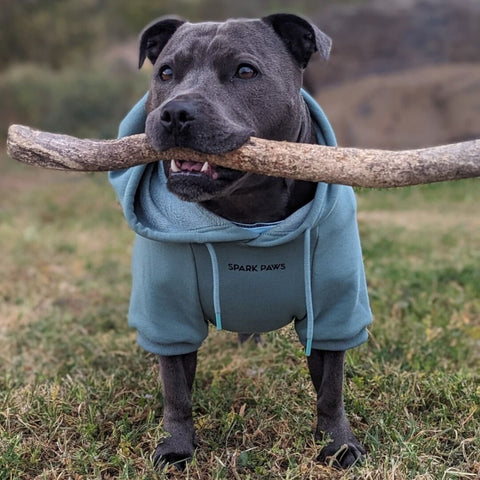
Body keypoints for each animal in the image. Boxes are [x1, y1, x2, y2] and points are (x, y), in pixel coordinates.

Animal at [109, 13, 372, 470]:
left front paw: (338, 444)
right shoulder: (168, 316)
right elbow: (176, 392)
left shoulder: (334, 313)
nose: (175, 112)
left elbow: (331, 389)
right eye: (166, 73)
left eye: (245, 71)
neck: (248, 215)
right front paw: (176, 447)